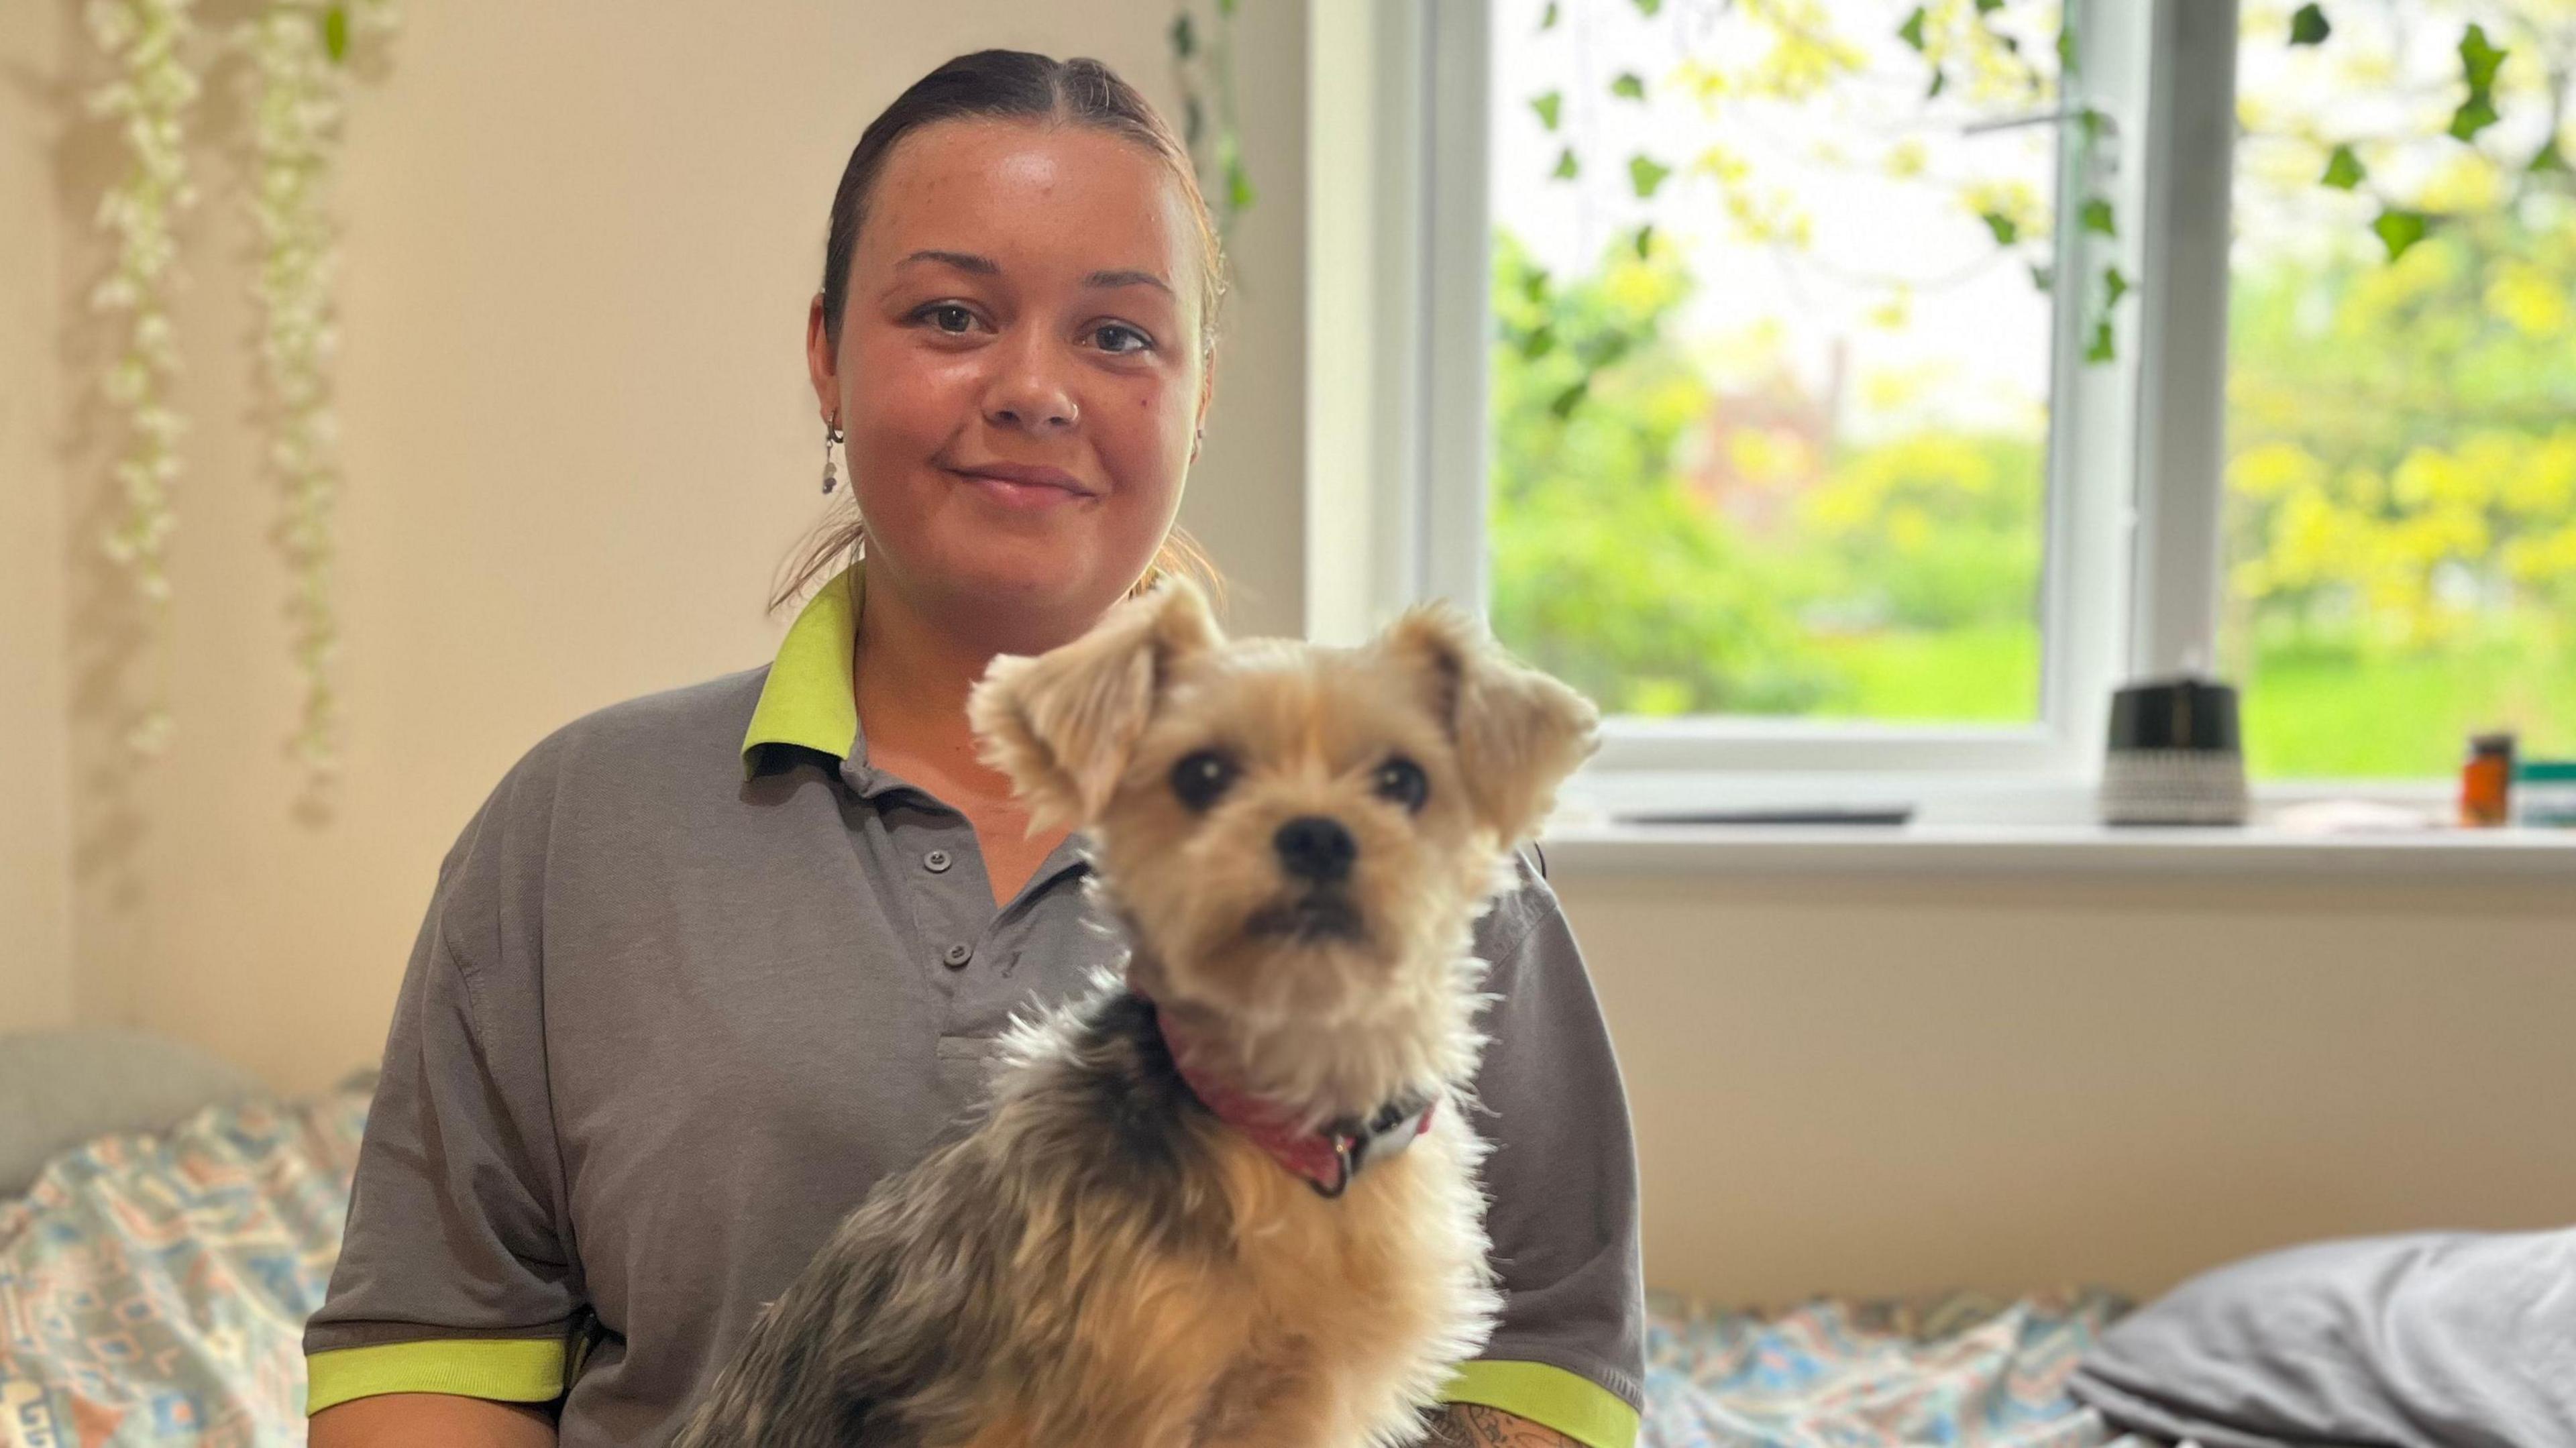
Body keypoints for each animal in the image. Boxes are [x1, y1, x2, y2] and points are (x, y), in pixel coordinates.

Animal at [669, 577, 1587, 1443]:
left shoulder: (1306, 1400)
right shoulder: (1120, 1390)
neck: (1279, 1120)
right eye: (1202, 774)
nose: (1317, 833)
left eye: (1404, 780)